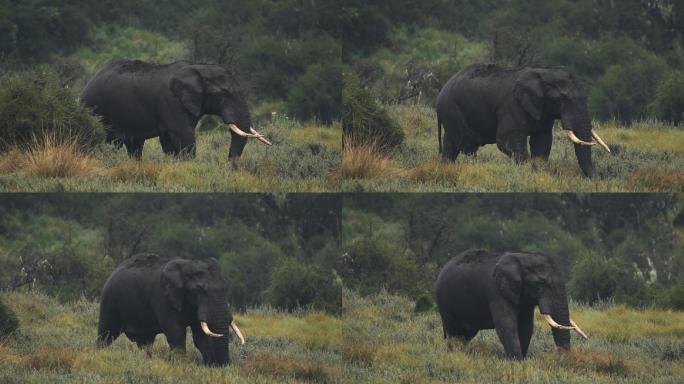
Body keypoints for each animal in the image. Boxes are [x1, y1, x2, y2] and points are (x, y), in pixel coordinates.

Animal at [81, 59, 272, 160]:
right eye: (224, 94)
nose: (231, 166)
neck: (198, 69)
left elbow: (169, 142)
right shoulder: (171, 102)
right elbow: (184, 137)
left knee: (134, 145)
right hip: (94, 108)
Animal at [96, 254, 246, 368]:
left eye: (226, 288)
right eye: (199, 290)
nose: (225, 366)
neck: (188, 265)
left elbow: (200, 337)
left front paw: (209, 367)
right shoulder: (163, 297)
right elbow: (177, 332)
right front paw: (182, 366)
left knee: (145, 342)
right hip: (109, 301)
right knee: (106, 335)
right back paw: (98, 353)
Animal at [436, 63, 612, 178]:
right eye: (563, 99)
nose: (597, 180)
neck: (543, 73)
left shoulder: (543, 110)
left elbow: (542, 141)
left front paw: (539, 171)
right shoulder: (512, 105)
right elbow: (507, 140)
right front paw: (531, 171)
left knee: (451, 146)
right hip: (453, 110)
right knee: (467, 145)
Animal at [436, 249, 584, 360]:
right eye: (541, 283)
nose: (563, 357)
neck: (522, 258)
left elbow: (526, 326)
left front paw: (521, 361)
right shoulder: (495, 290)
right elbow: (506, 324)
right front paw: (516, 362)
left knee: (465, 335)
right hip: (444, 301)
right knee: (453, 332)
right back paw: (454, 354)